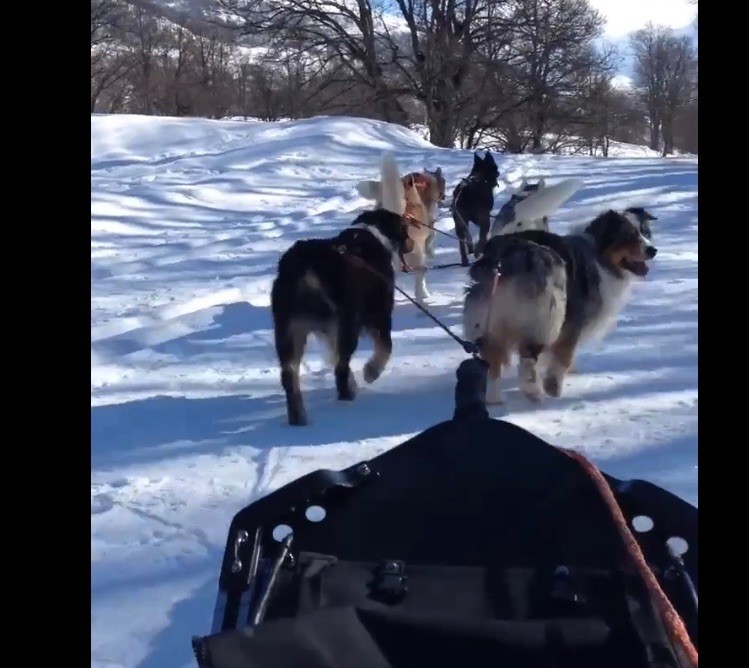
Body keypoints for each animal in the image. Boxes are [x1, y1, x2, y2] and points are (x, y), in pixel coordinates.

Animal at [270, 153, 412, 426]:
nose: (410, 246)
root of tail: (305, 265)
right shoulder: (378, 314)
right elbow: (386, 346)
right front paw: (371, 372)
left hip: (290, 331)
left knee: (289, 375)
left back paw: (298, 417)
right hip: (347, 323)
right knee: (340, 368)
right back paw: (347, 397)